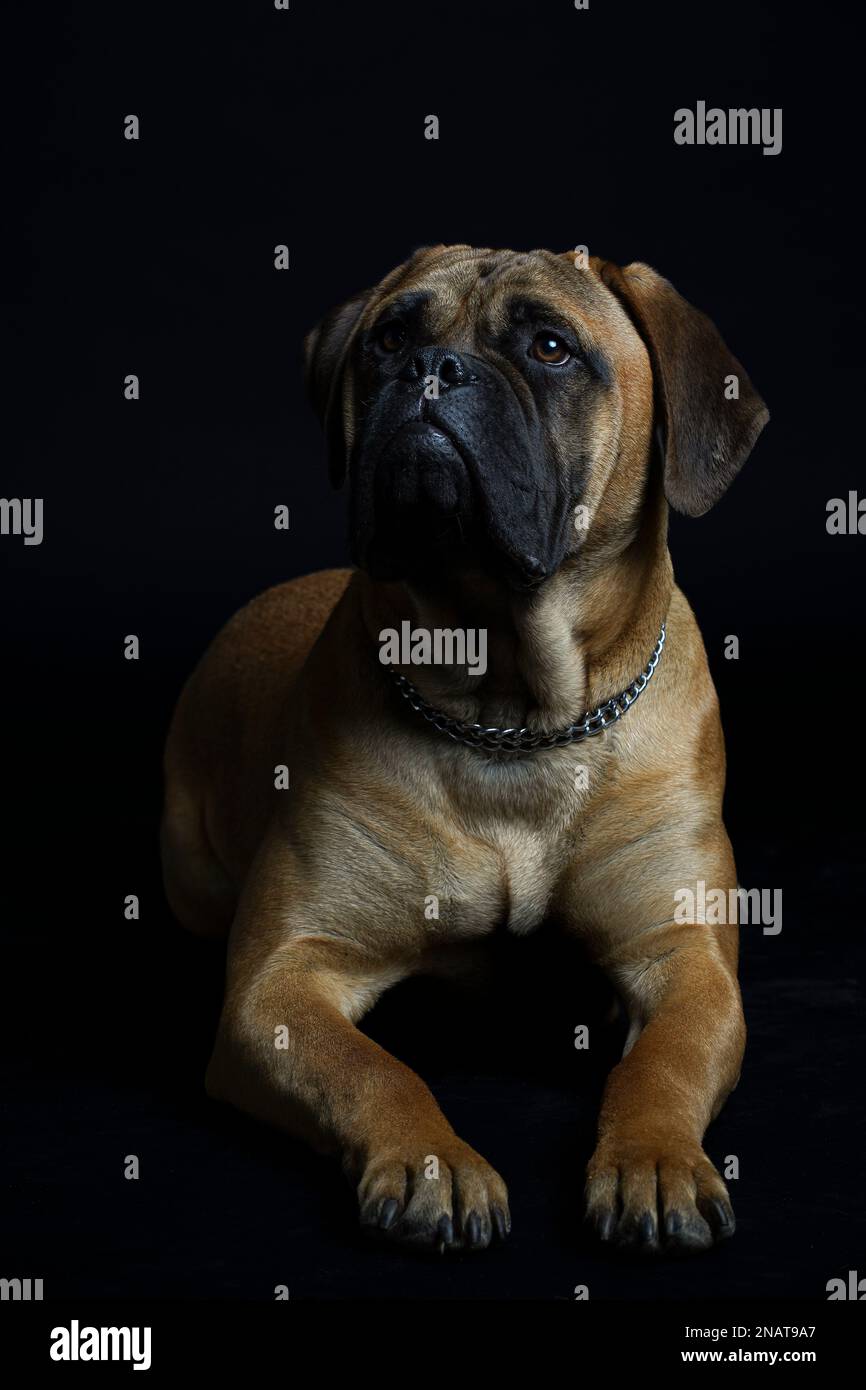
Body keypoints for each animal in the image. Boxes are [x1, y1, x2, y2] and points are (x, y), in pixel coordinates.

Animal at [161, 244, 767, 1256]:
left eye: (551, 347)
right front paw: (430, 1160)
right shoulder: (283, 979)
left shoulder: (684, 956)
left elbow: (664, 1065)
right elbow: (372, 1068)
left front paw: (653, 1155)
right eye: (389, 337)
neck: (512, 714)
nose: (430, 371)